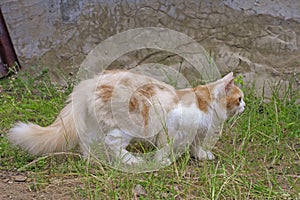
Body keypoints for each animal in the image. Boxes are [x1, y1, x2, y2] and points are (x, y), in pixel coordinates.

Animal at [8, 70, 245, 166]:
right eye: (240, 98)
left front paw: (202, 156)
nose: (245, 105)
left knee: (89, 147)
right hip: (126, 126)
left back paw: (96, 161)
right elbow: (166, 148)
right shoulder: (173, 127)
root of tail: (88, 84)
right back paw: (132, 161)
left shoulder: (197, 133)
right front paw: (163, 161)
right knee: (112, 145)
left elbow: (196, 146)